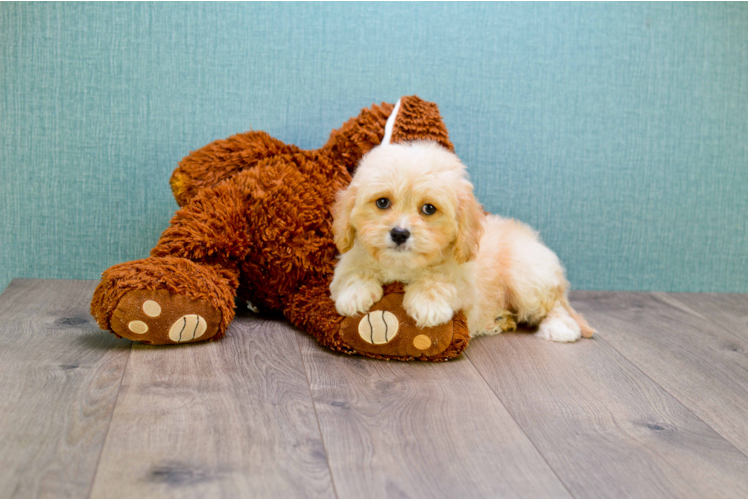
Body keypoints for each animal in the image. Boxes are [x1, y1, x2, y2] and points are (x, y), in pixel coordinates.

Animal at [330, 143, 592, 342]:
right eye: (382, 202)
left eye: (429, 209)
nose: (400, 233)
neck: (402, 266)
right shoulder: (349, 260)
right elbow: (353, 273)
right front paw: (354, 294)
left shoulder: (465, 281)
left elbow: (440, 280)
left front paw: (428, 304)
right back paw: (497, 321)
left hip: (525, 276)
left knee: (554, 305)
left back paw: (559, 327)